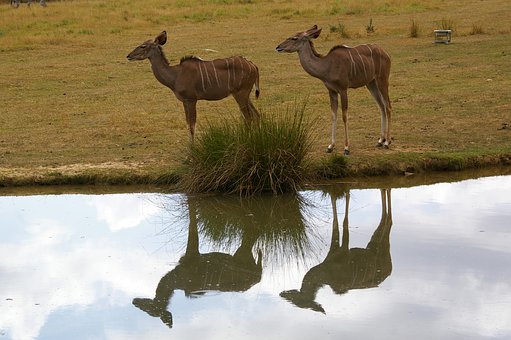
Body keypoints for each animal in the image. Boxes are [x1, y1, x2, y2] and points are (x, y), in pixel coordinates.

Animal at [127, 29, 262, 144]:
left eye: (143, 46)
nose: (128, 56)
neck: (176, 74)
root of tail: (254, 66)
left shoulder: (191, 99)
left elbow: (191, 125)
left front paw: (191, 150)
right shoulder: (185, 101)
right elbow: (188, 124)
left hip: (241, 94)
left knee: (248, 117)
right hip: (243, 95)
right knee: (256, 115)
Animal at [276, 24, 392, 155]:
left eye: (294, 38)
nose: (278, 47)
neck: (327, 65)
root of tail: (386, 53)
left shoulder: (343, 89)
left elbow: (344, 116)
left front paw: (346, 148)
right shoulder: (331, 91)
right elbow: (333, 115)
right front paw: (330, 146)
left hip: (382, 80)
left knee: (388, 106)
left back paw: (387, 142)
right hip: (371, 84)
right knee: (381, 106)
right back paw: (380, 140)